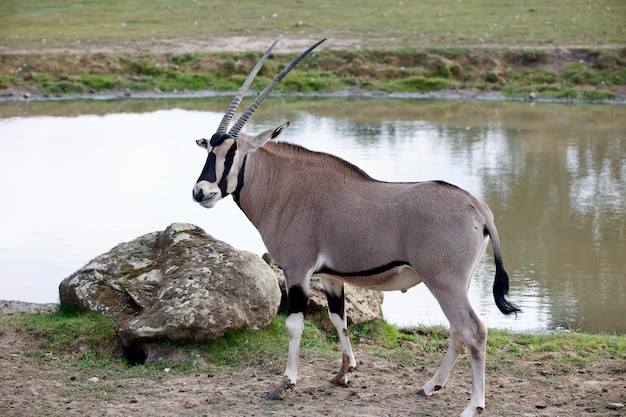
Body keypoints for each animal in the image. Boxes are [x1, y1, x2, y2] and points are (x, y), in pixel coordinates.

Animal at [189, 38, 516, 416]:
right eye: (210, 150)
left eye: (233, 153)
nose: (201, 192)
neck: (286, 186)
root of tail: (479, 208)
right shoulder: (331, 277)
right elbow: (339, 320)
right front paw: (344, 373)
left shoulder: (297, 271)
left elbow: (293, 326)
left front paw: (285, 384)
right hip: (452, 283)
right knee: (457, 330)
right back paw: (430, 386)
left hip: (445, 281)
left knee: (474, 331)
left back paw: (473, 405)